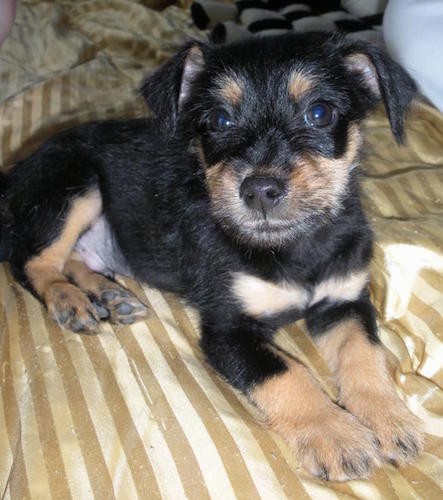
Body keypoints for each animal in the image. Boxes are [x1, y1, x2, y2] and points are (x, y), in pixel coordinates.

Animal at [0, 32, 424, 480]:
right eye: (220, 120)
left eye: (320, 113)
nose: (260, 190)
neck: (292, 246)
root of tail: (17, 169)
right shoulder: (227, 330)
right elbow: (287, 374)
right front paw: (334, 435)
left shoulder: (344, 302)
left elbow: (365, 354)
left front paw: (390, 419)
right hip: (72, 184)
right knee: (32, 261)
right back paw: (69, 300)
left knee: (75, 259)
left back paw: (109, 295)